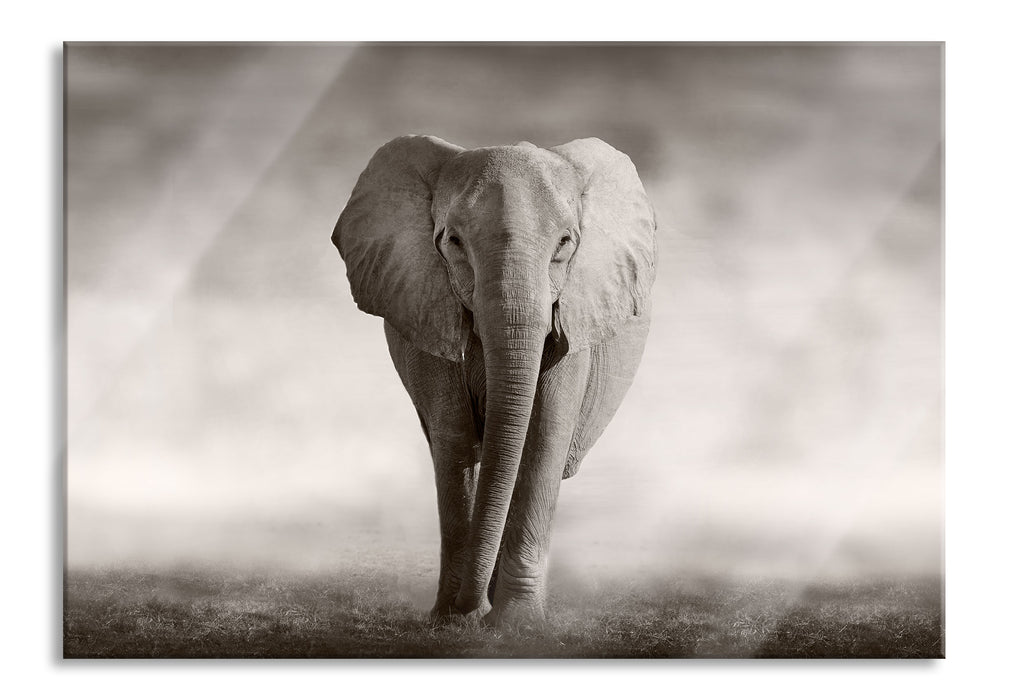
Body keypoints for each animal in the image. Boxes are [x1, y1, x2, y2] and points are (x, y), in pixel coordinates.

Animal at [331, 135, 656, 626]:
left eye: (565, 243)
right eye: (454, 241)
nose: (473, 610)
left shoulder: (573, 315)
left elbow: (543, 437)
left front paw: (516, 625)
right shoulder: (427, 307)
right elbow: (455, 438)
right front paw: (454, 621)